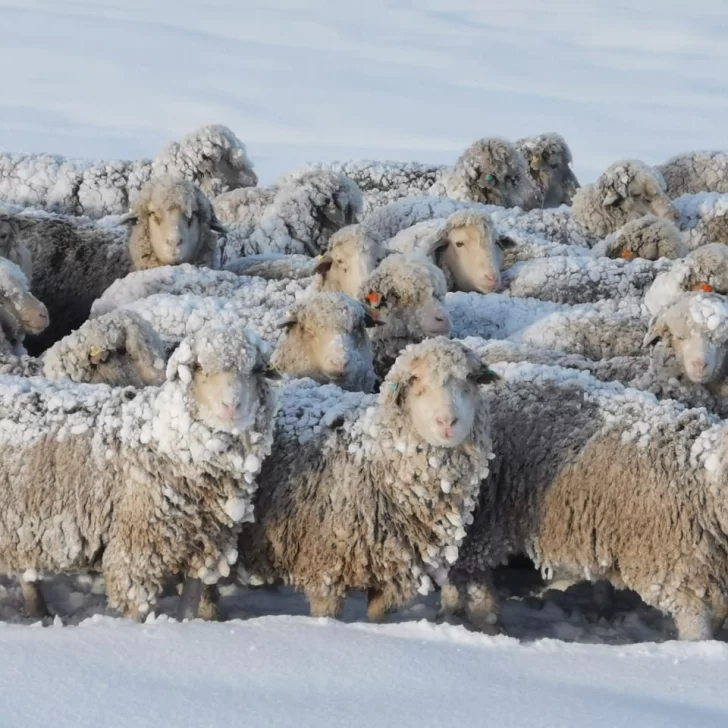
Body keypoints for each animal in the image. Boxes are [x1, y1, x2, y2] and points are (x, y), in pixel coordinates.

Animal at [0, 324, 278, 620]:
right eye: (198, 366)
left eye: (256, 370)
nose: (232, 406)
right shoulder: (136, 548)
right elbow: (137, 608)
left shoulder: (204, 543)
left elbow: (189, 605)